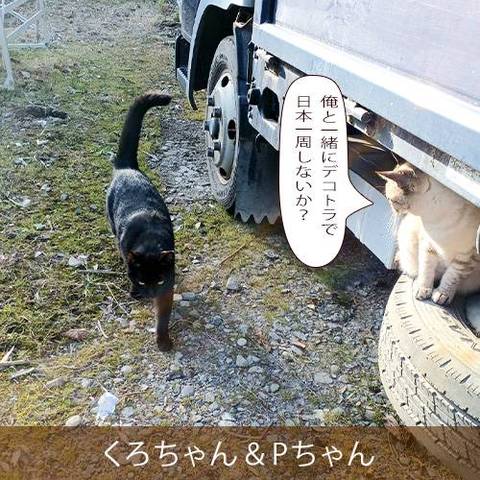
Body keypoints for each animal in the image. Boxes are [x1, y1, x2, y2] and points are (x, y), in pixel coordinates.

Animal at [106, 91, 175, 351]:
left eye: (159, 281)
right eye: (144, 283)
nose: (149, 294)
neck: (150, 241)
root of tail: (127, 168)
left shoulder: (167, 286)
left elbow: (163, 316)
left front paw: (163, 340)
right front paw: (134, 291)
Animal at [378, 162, 480, 305]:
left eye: (390, 200)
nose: (392, 210)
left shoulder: (467, 257)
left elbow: (451, 277)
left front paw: (442, 294)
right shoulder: (428, 245)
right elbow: (427, 270)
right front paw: (423, 290)